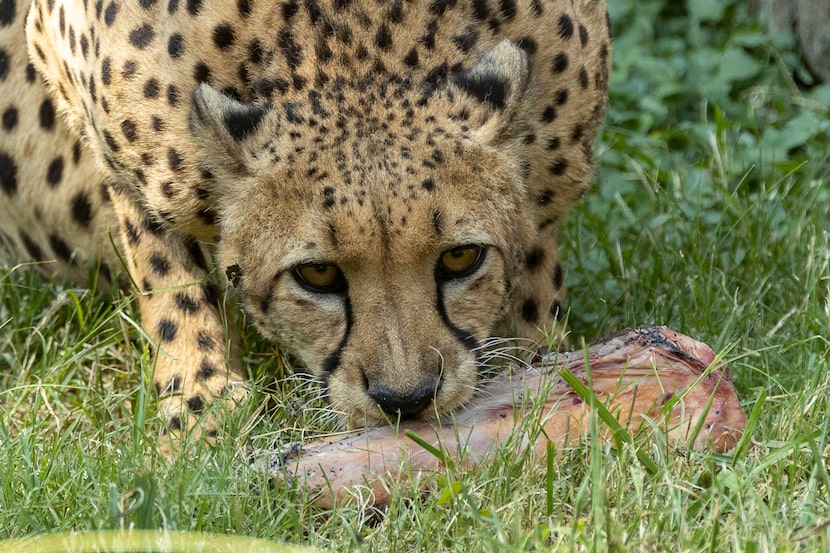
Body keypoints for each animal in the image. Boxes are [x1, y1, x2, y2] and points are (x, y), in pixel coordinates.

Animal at [0, 0, 612, 436]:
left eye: (461, 257)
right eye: (316, 274)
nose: (406, 400)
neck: (356, 48)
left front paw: (541, 364)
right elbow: (166, 277)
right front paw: (201, 408)